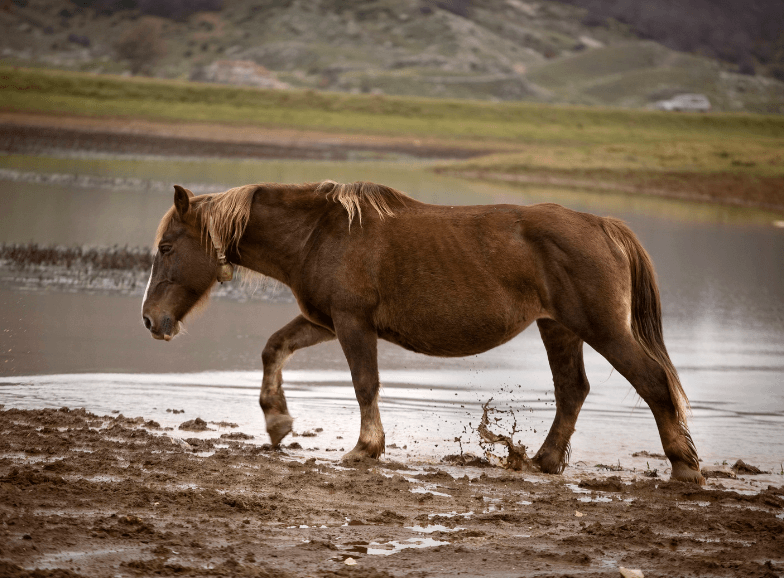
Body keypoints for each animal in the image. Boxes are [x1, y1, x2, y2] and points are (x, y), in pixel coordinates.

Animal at [141, 180, 704, 485]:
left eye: (167, 247)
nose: (150, 320)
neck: (318, 235)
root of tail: (602, 224)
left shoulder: (353, 323)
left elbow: (365, 384)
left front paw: (365, 448)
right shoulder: (326, 322)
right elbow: (273, 348)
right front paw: (278, 422)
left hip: (602, 329)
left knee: (652, 383)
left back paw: (684, 468)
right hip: (559, 328)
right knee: (573, 391)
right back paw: (544, 461)